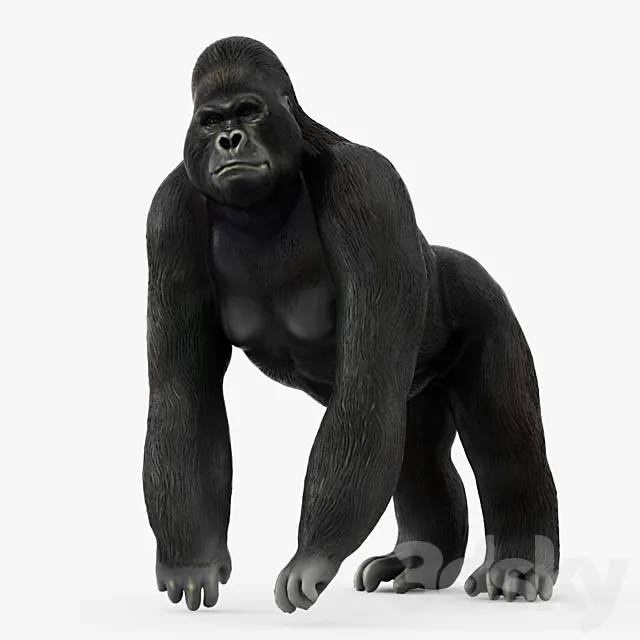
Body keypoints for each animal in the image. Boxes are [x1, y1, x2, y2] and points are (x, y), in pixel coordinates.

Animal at [143, 36, 559, 613]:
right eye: (209, 121)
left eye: (248, 111)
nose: (229, 139)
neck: (264, 205)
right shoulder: (169, 217)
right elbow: (184, 396)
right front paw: (190, 559)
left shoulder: (368, 188)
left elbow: (368, 378)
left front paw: (311, 558)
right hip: (420, 389)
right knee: (413, 453)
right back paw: (418, 560)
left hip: (485, 301)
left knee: (504, 441)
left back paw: (518, 562)